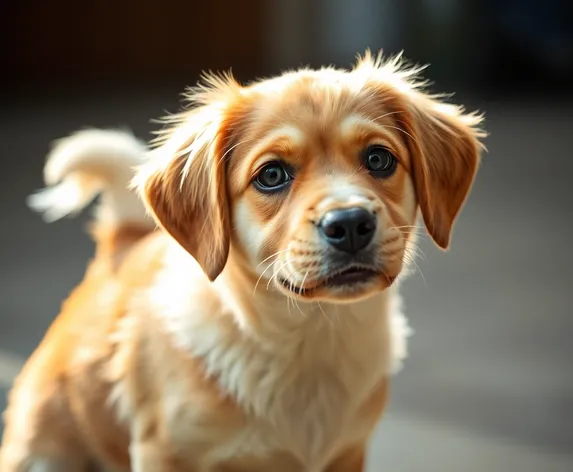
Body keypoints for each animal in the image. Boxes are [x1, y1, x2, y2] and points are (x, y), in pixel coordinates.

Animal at [1, 53, 482, 470]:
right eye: (271, 175)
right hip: (44, 454)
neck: (310, 339)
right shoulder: (164, 453)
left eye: (379, 159)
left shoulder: (348, 453)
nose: (349, 223)